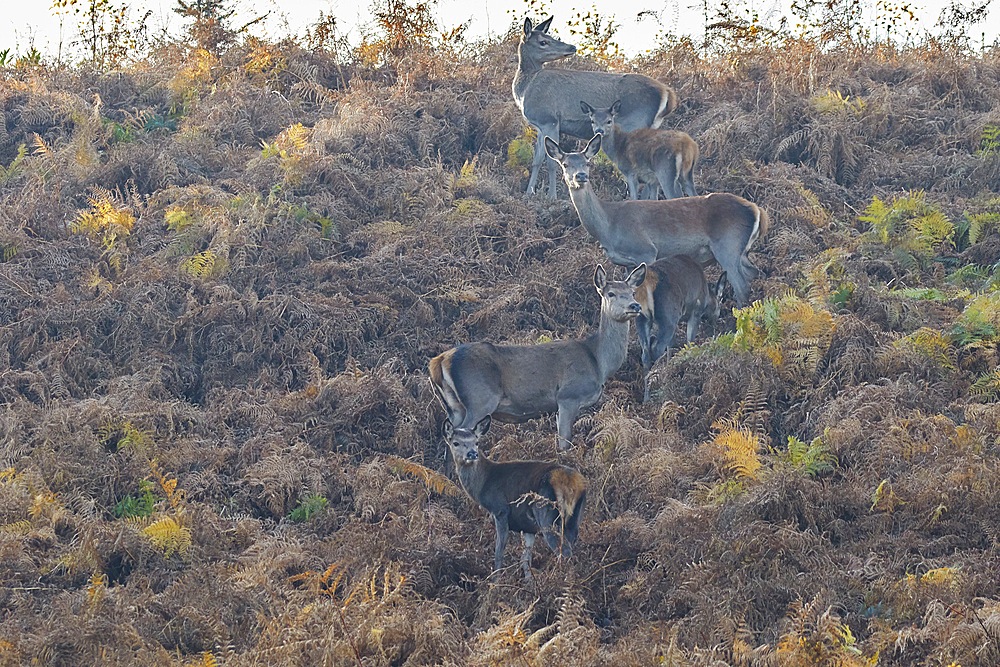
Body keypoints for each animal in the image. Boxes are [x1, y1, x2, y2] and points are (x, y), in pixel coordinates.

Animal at [426, 264, 644, 452]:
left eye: (632, 292)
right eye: (611, 293)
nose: (635, 306)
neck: (599, 362)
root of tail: (438, 361)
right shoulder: (568, 396)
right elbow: (564, 444)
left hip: (454, 406)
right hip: (479, 399)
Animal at [440, 418, 584, 580]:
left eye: (476, 442)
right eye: (455, 442)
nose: (472, 454)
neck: (484, 483)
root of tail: (572, 483)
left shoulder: (500, 510)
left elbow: (499, 552)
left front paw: (495, 581)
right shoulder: (527, 526)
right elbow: (525, 559)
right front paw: (529, 583)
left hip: (547, 515)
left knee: (563, 551)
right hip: (575, 518)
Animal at [516, 15, 680, 198]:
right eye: (543, 41)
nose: (572, 47)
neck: (524, 89)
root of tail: (668, 94)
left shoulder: (549, 119)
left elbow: (552, 162)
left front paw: (552, 196)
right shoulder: (540, 125)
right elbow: (536, 159)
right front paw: (528, 193)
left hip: (635, 123)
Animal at [544, 136, 768, 308]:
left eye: (588, 162)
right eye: (565, 164)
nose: (580, 176)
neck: (609, 226)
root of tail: (757, 210)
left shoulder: (646, 250)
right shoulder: (626, 262)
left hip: (727, 245)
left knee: (741, 285)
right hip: (741, 250)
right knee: (753, 273)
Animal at [640, 256, 728, 402]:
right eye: (719, 304)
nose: (713, 330)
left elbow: (671, 347)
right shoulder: (695, 312)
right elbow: (689, 343)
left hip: (641, 320)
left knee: (645, 354)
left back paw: (646, 398)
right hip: (668, 316)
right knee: (656, 348)